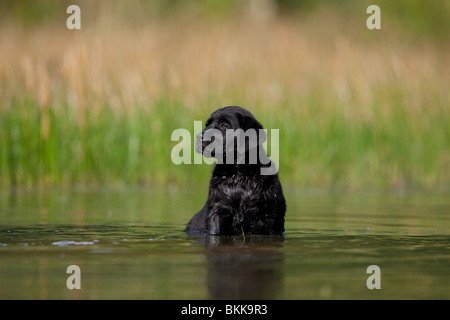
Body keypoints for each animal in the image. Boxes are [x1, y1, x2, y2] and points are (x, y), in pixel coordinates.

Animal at [185, 106, 286, 234]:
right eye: (207, 124)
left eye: (224, 125)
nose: (198, 137)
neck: (240, 174)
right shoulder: (218, 211)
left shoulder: (272, 217)